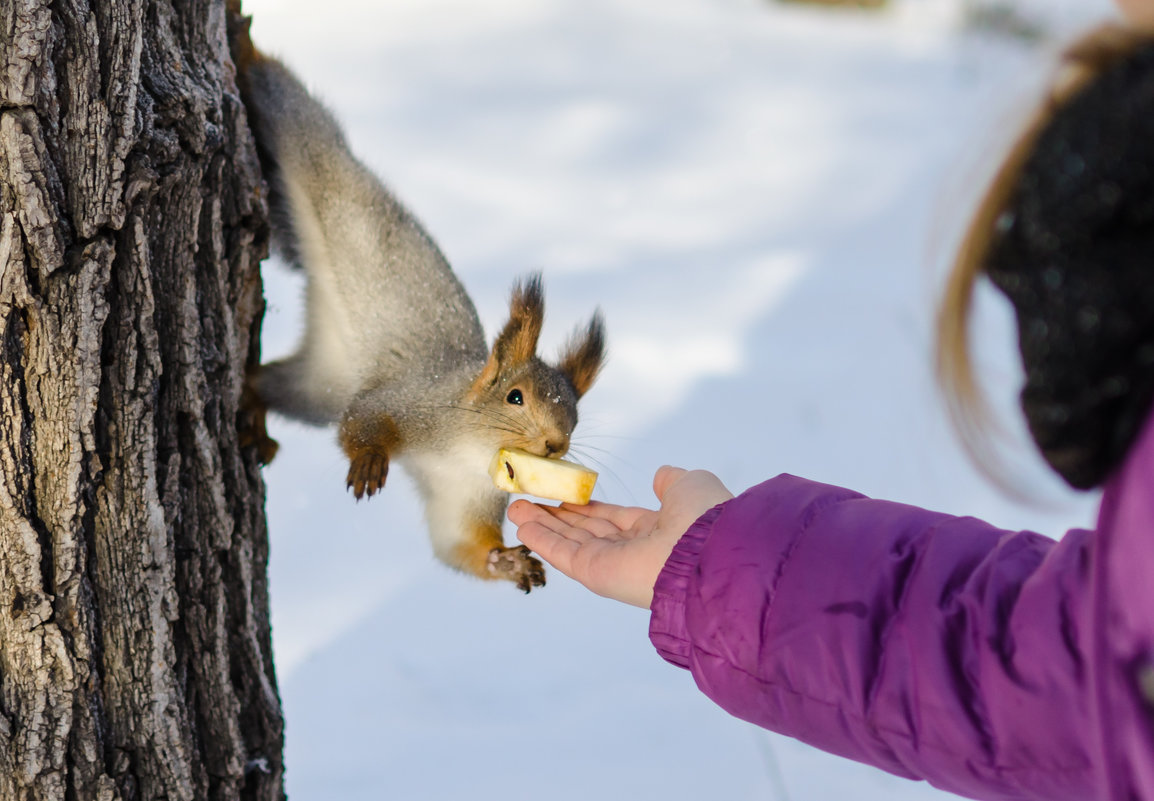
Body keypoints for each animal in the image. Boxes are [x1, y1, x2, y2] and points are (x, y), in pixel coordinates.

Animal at [225, 9, 604, 590]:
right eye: (515, 397)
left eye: (577, 417)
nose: (556, 445)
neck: (469, 447)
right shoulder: (411, 401)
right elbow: (363, 419)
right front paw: (369, 461)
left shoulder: (465, 496)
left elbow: (457, 544)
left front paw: (508, 560)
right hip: (316, 156)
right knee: (288, 103)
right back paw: (243, 43)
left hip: (318, 385)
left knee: (267, 383)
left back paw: (256, 417)